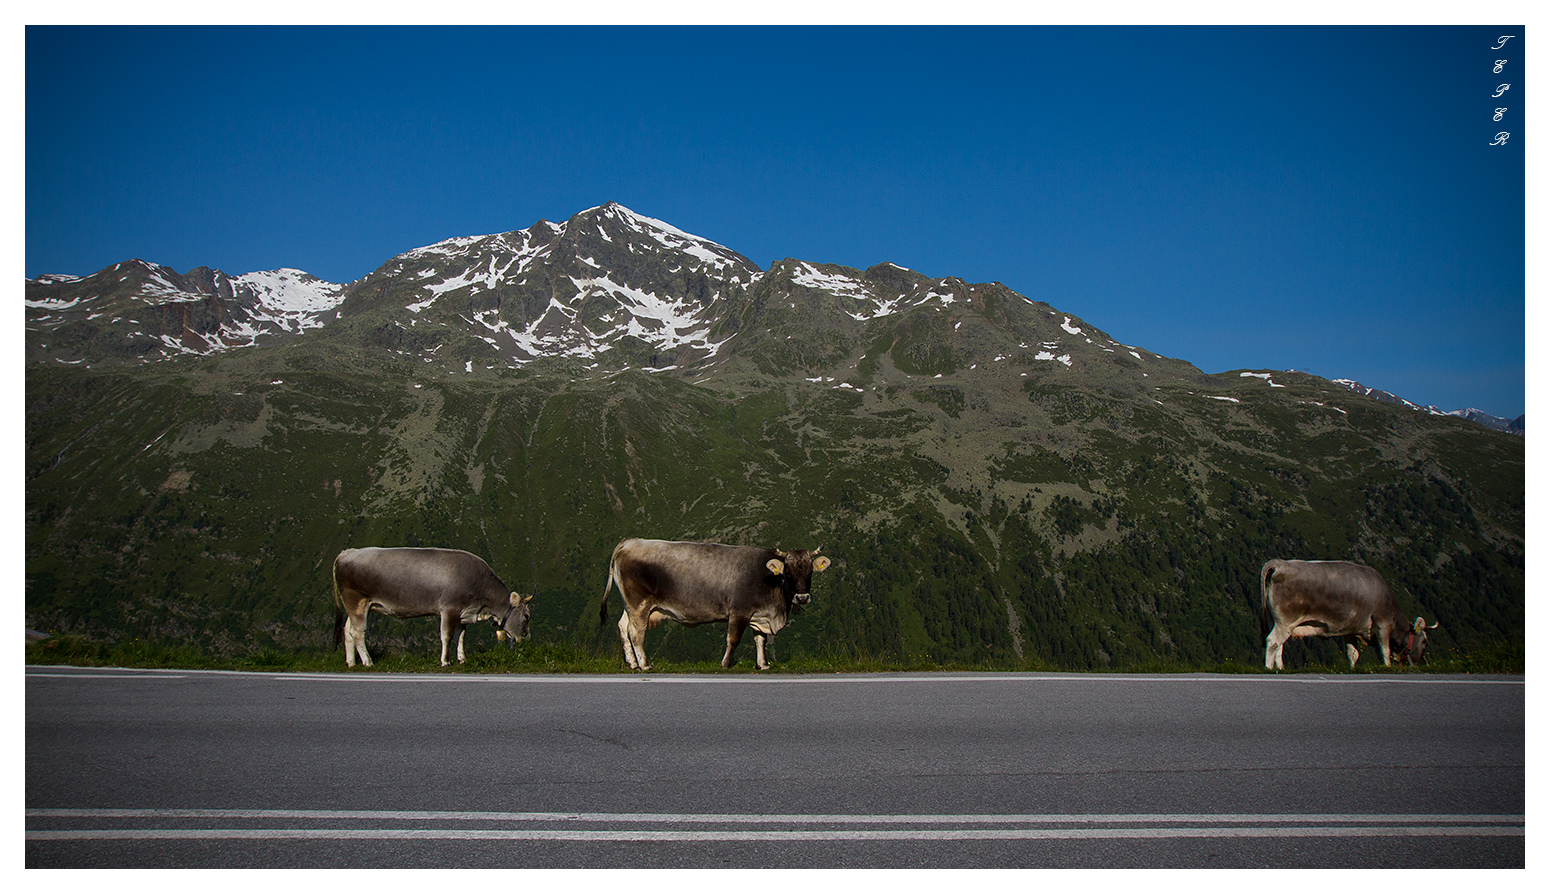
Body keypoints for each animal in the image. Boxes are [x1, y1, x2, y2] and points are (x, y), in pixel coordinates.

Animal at [333, 547, 533, 667]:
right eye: (527, 616)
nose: (527, 637)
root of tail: (345, 553)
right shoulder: (449, 609)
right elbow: (447, 636)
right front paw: (445, 661)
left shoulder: (463, 613)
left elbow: (461, 636)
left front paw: (462, 659)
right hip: (356, 601)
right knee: (358, 632)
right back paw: (367, 662)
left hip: (356, 606)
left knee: (347, 630)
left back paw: (351, 662)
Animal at [598, 538, 831, 671]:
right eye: (788, 573)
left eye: (809, 573)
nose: (802, 598)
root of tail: (629, 542)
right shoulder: (739, 611)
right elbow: (733, 640)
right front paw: (726, 664)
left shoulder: (759, 615)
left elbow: (760, 641)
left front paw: (763, 665)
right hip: (639, 604)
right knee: (636, 633)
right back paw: (645, 665)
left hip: (630, 605)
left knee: (622, 626)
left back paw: (632, 663)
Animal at [1260, 558, 1437, 670]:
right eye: (1425, 643)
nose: (1421, 664)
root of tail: (1279, 563)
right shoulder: (1383, 623)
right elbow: (1385, 650)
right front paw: (1387, 667)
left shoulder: (1350, 629)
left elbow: (1353, 653)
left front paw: (1352, 668)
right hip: (1285, 621)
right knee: (1273, 641)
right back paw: (1268, 668)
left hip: (1275, 621)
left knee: (1279, 646)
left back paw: (1281, 668)